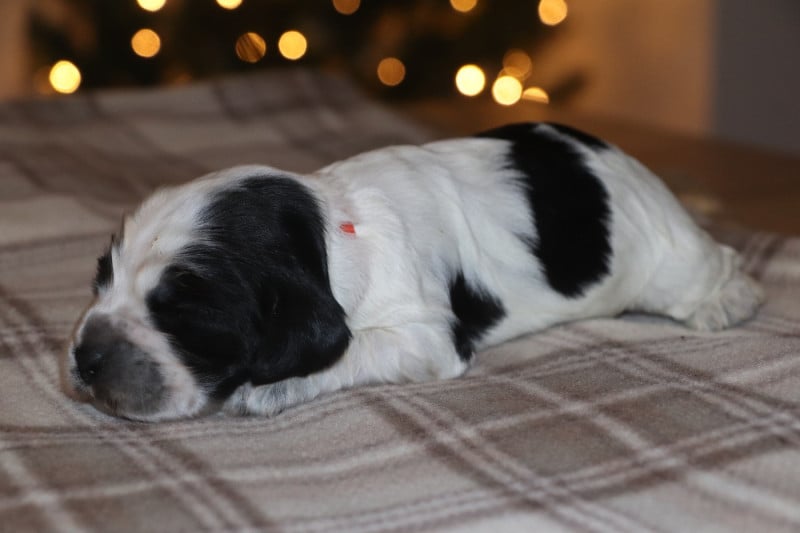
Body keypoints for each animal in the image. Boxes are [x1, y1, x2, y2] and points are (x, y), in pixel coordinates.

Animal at [63, 122, 764, 421]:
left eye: (182, 311)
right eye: (101, 280)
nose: (86, 361)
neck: (329, 233)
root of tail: (608, 150)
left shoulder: (424, 332)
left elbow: (355, 347)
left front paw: (270, 389)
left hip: (664, 259)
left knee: (714, 264)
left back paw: (728, 302)